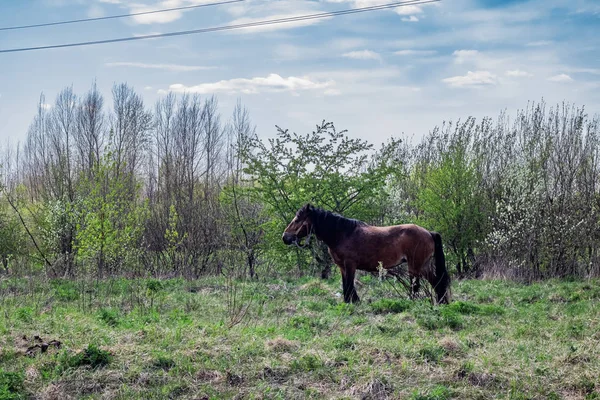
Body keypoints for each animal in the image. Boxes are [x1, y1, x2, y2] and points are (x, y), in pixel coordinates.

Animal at [282, 205, 450, 304]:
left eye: (297, 219)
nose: (285, 237)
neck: (342, 233)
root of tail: (429, 233)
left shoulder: (350, 265)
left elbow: (350, 284)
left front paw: (354, 302)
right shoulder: (342, 267)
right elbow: (345, 284)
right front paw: (349, 302)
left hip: (415, 266)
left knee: (417, 285)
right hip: (423, 266)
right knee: (437, 282)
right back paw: (440, 302)